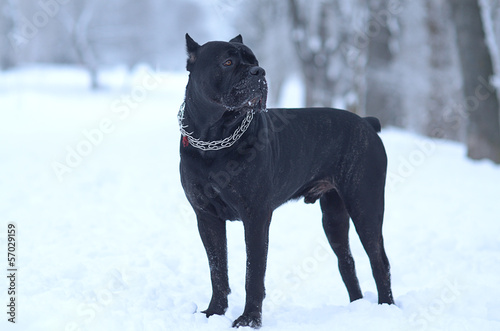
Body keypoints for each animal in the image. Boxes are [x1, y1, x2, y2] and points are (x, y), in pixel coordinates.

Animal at [178, 34, 392, 330]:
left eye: (255, 61)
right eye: (228, 62)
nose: (259, 72)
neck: (215, 139)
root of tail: (366, 123)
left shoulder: (256, 217)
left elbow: (253, 272)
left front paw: (249, 319)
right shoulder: (207, 217)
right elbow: (217, 269)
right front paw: (214, 312)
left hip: (365, 207)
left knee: (379, 261)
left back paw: (387, 309)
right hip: (334, 217)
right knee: (347, 261)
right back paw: (356, 308)